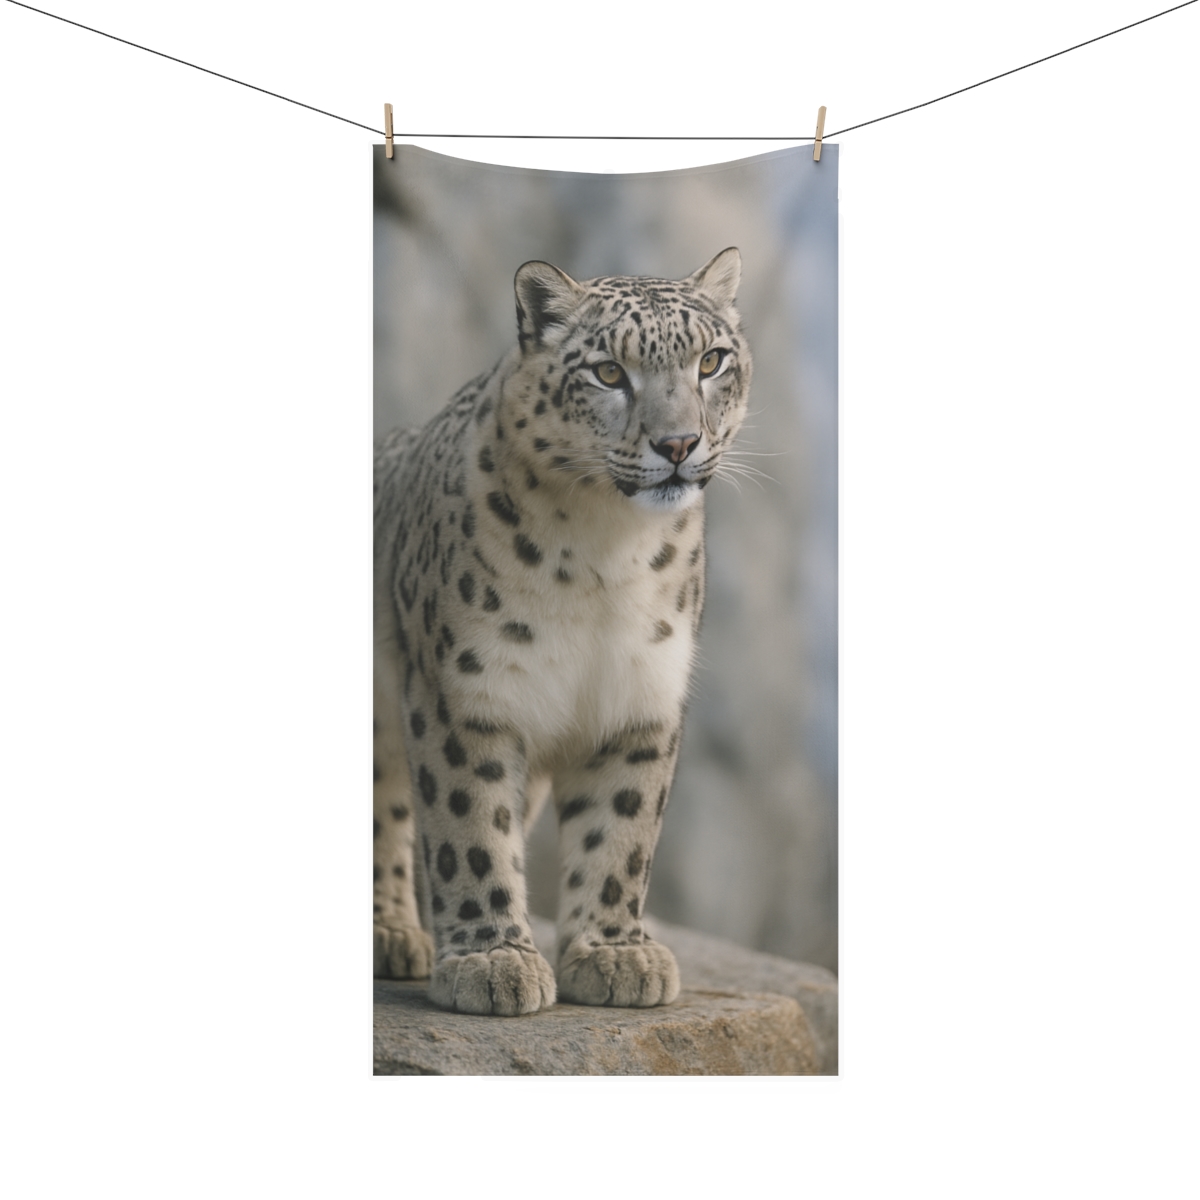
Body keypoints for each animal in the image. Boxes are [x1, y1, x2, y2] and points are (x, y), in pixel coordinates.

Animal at [373, 247, 752, 1015]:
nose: (678, 443)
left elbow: (622, 830)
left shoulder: (641, 697)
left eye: (711, 361)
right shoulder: (464, 694)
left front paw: (613, 954)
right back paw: (392, 935)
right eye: (608, 372)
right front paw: (491, 960)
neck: (605, 553)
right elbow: (470, 827)